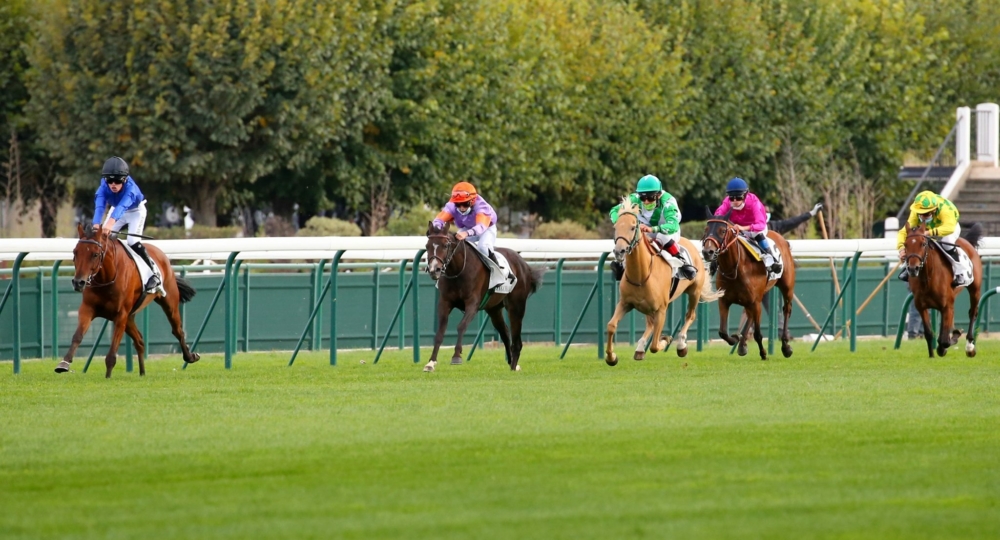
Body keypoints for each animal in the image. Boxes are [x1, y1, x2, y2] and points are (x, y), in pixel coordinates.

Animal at [55, 224, 201, 376]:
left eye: (95, 254)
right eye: (75, 252)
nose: (78, 282)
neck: (106, 278)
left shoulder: (120, 315)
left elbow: (111, 355)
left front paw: (108, 377)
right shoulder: (87, 309)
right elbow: (77, 336)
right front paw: (64, 363)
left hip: (169, 302)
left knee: (178, 330)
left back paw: (190, 357)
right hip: (130, 317)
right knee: (140, 341)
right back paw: (142, 373)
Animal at [424, 220, 548, 372]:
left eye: (445, 245)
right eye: (427, 246)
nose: (434, 270)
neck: (458, 271)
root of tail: (524, 264)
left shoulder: (472, 303)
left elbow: (461, 326)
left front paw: (456, 356)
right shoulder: (445, 302)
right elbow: (440, 332)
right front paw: (431, 362)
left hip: (516, 306)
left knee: (517, 339)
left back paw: (514, 366)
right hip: (494, 309)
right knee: (505, 332)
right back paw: (511, 362)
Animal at [604, 196, 724, 364]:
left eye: (633, 228)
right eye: (616, 227)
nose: (619, 251)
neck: (641, 274)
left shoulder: (661, 309)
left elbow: (655, 345)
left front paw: (666, 339)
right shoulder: (625, 303)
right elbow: (611, 326)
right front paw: (611, 357)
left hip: (694, 291)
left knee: (690, 315)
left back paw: (681, 345)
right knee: (649, 324)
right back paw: (640, 348)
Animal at [704, 214, 796, 358]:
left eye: (722, 231)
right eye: (706, 229)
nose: (707, 252)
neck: (734, 269)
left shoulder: (755, 301)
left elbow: (758, 334)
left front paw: (763, 353)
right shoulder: (724, 300)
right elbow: (722, 332)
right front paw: (735, 339)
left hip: (786, 287)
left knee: (786, 309)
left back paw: (786, 346)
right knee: (750, 315)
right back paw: (742, 345)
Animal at [900, 221, 984, 356]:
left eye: (923, 243)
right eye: (905, 244)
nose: (913, 269)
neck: (928, 278)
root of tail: (967, 242)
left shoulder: (947, 305)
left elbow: (944, 341)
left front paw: (952, 338)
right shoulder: (921, 306)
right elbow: (929, 334)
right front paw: (932, 355)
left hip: (975, 289)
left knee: (972, 313)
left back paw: (970, 346)